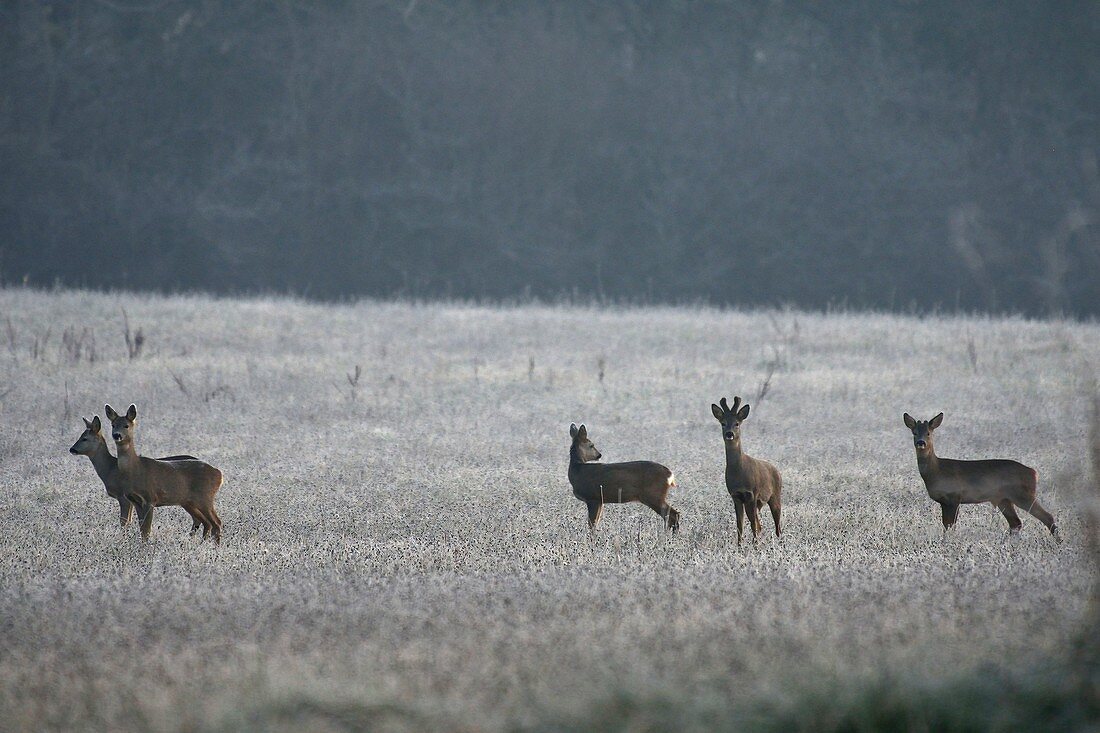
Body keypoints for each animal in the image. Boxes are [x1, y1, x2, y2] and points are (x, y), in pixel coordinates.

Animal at [68, 413, 200, 528]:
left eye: (84, 438)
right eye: (80, 436)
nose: (72, 449)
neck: (111, 469)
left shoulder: (123, 496)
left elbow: (124, 521)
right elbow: (130, 521)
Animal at [105, 402, 223, 539]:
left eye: (126, 425)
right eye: (113, 425)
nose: (116, 435)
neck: (135, 468)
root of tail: (219, 474)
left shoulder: (150, 498)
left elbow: (146, 530)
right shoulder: (135, 501)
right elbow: (142, 529)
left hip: (205, 497)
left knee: (217, 522)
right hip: (191, 501)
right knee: (209, 523)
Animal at [712, 394, 783, 541]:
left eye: (737, 423)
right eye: (723, 423)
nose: (729, 434)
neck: (739, 472)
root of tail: (777, 470)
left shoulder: (752, 494)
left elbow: (753, 525)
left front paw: (755, 545)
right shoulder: (736, 496)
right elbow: (740, 524)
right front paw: (740, 545)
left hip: (775, 496)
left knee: (777, 526)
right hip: (758, 503)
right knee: (760, 524)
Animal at [902, 413, 1056, 539]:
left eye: (928, 433)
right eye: (914, 432)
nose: (920, 442)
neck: (937, 471)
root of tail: (1034, 472)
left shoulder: (954, 497)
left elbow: (950, 526)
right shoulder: (944, 501)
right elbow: (946, 526)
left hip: (1023, 494)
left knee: (1047, 517)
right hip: (1004, 499)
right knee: (1016, 523)